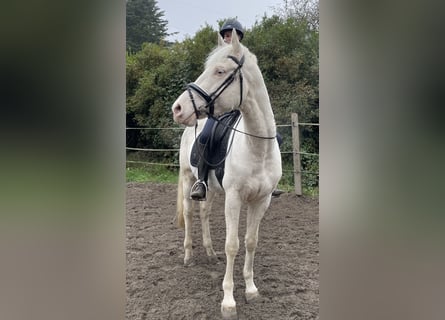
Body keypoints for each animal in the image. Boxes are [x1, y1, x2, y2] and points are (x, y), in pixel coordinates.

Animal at [171, 28, 280, 318]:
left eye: (220, 71)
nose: (177, 109)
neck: (257, 148)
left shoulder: (261, 201)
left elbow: (251, 241)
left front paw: (251, 290)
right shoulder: (234, 198)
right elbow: (232, 245)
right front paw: (229, 301)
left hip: (207, 188)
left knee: (204, 212)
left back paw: (210, 253)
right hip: (187, 178)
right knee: (190, 213)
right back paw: (188, 256)